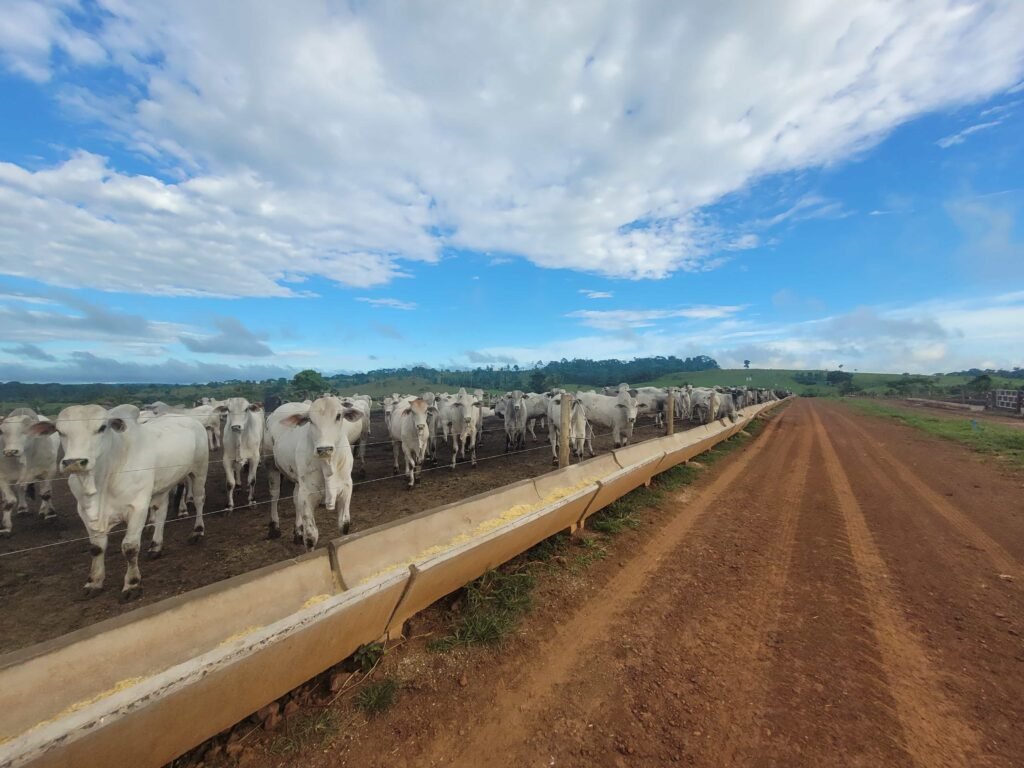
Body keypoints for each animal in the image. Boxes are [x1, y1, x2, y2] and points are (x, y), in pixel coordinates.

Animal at [33, 404, 209, 600]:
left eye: (102, 428)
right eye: (60, 431)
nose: (74, 462)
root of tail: (191, 420)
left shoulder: (138, 507)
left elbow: (130, 548)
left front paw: (132, 584)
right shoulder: (84, 511)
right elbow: (96, 548)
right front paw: (94, 582)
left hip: (199, 471)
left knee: (199, 500)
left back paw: (197, 531)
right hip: (162, 487)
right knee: (161, 512)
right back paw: (156, 547)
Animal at [264, 397, 364, 548]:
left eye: (338, 416)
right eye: (310, 419)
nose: (324, 449)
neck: (328, 465)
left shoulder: (346, 488)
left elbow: (344, 525)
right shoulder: (307, 494)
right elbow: (311, 537)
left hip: (298, 479)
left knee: (295, 498)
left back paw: (298, 531)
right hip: (271, 464)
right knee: (274, 495)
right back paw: (274, 527)